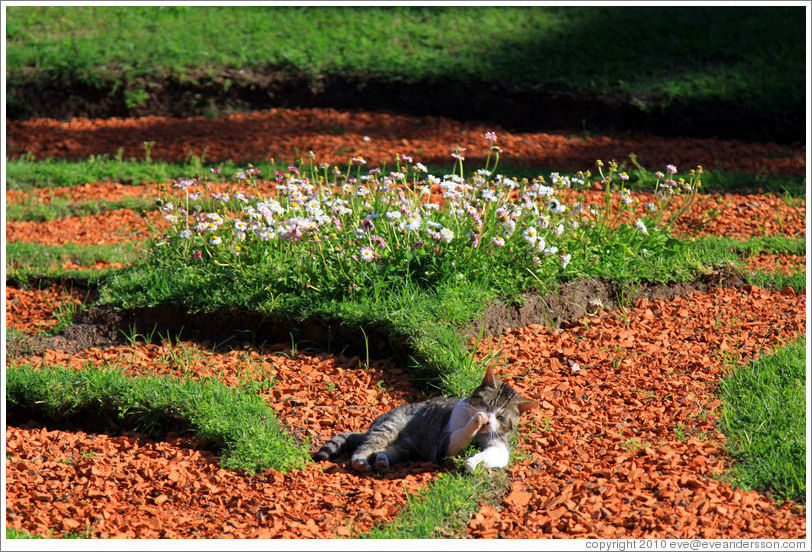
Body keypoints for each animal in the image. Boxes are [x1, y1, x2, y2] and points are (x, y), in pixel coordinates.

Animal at [310, 368, 532, 472]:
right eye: (486, 404)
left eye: (500, 416)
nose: (487, 420)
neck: (481, 436)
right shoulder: (444, 444)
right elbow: (460, 435)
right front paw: (476, 420)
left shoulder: (500, 446)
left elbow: (493, 456)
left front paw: (473, 463)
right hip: (389, 427)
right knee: (364, 446)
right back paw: (361, 461)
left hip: (402, 449)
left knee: (383, 451)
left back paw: (381, 460)